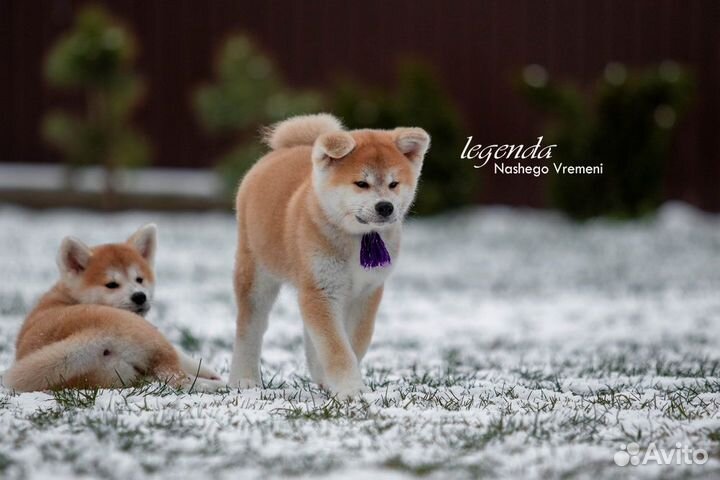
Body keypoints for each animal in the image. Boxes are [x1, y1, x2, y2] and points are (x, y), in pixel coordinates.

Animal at [2, 225, 222, 394]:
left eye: (139, 279)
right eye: (111, 285)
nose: (139, 296)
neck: (68, 296)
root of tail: (91, 333)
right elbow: (184, 357)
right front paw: (211, 373)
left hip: (117, 376)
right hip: (148, 337)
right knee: (178, 378)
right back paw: (216, 385)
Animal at [229, 113, 428, 398]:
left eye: (393, 183)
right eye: (361, 183)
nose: (385, 207)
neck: (359, 239)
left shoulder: (367, 292)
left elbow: (354, 342)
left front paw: (336, 381)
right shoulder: (321, 290)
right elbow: (336, 347)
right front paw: (350, 389)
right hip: (256, 274)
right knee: (250, 326)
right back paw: (244, 379)